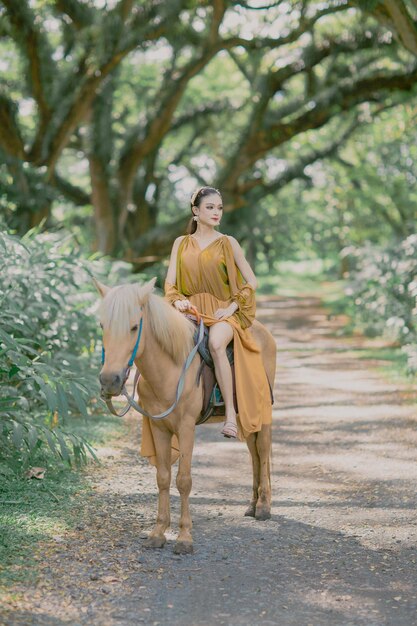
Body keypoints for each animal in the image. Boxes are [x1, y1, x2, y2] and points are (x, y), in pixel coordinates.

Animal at [94, 276, 276, 552]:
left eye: (134, 327)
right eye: (102, 325)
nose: (109, 381)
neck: (170, 369)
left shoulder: (186, 428)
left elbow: (183, 480)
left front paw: (184, 537)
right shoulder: (159, 427)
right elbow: (163, 477)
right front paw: (158, 532)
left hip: (261, 412)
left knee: (263, 450)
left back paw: (264, 507)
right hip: (246, 416)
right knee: (254, 453)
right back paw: (253, 505)